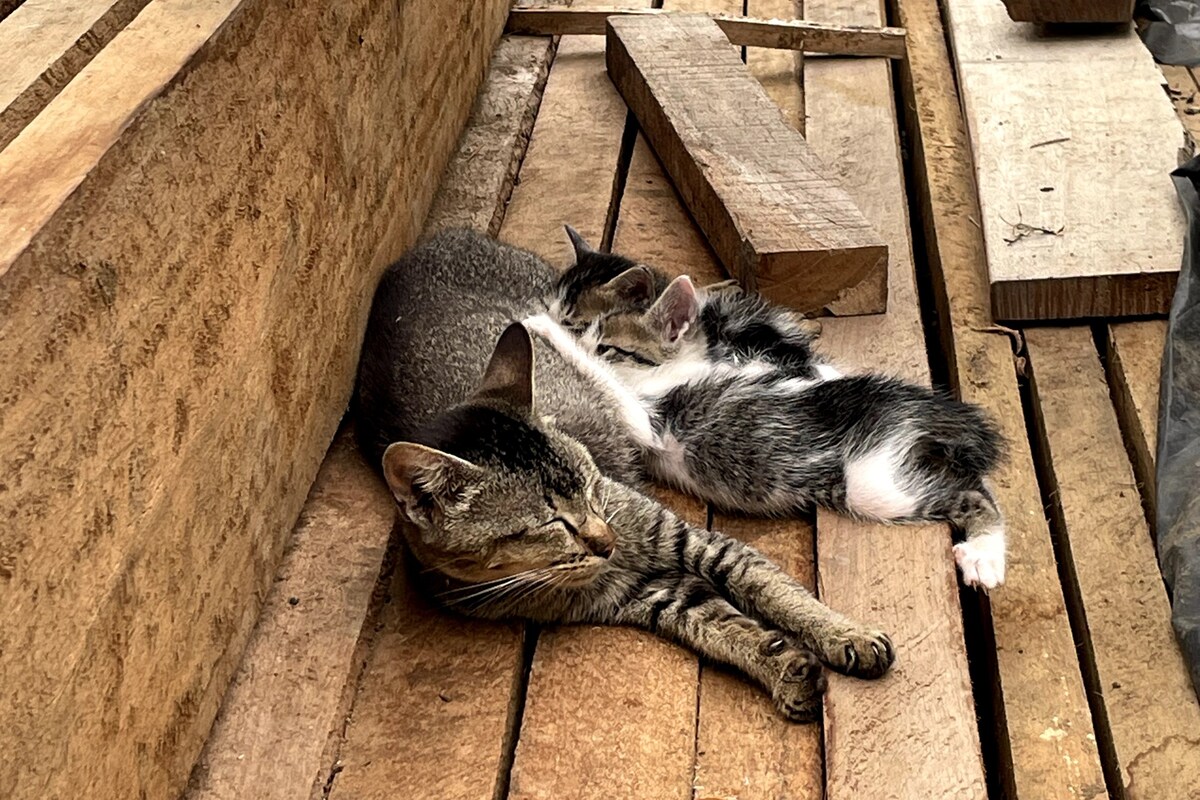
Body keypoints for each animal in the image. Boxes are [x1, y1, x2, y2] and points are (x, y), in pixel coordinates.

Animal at [350, 227, 897, 724]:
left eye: (591, 484)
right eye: (550, 524)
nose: (607, 540)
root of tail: (425, 244)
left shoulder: (693, 540)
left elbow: (769, 585)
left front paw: (842, 633)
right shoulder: (655, 594)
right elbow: (726, 629)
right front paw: (785, 669)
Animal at [530, 272, 1008, 592]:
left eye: (607, 344)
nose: (584, 338)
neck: (669, 371)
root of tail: (905, 401)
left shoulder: (649, 419)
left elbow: (604, 380)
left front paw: (540, 326)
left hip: (876, 484)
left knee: (974, 493)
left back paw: (983, 558)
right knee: (973, 483)